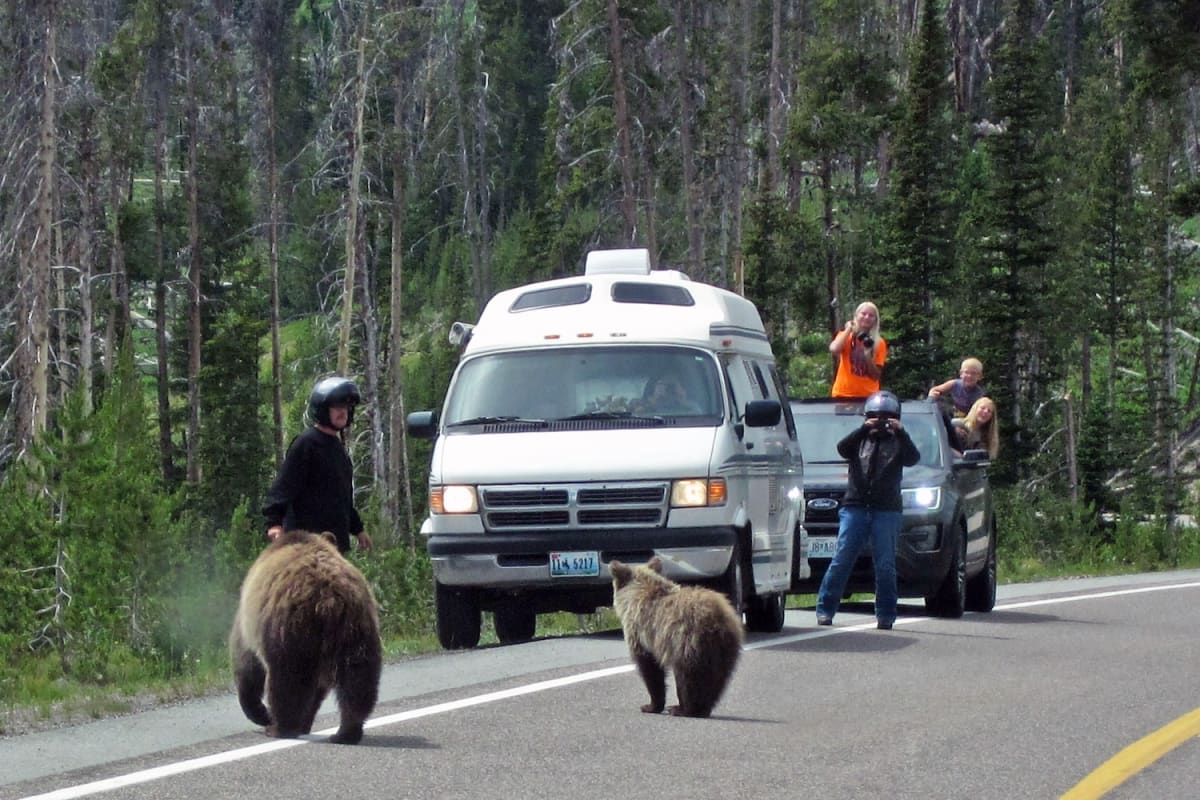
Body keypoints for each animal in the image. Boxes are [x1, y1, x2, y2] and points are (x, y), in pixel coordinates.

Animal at [229, 530, 382, 744]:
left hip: (289, 632)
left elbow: (247, 666)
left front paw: (260, 713)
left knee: (287, 680)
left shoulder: (250, 626)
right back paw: (346, 732)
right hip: (355, 630)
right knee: (358, 680)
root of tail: (329, 598)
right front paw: (304, 722)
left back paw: (278, 727)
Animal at [609, 556, 743, 718]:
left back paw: (682, 709)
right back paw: (704, 708)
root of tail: (716, 619)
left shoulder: (640, 633)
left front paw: (650, 706)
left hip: (688, 643)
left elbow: (650, 668)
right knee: (717, 678)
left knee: (687, 677)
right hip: (724, 649)